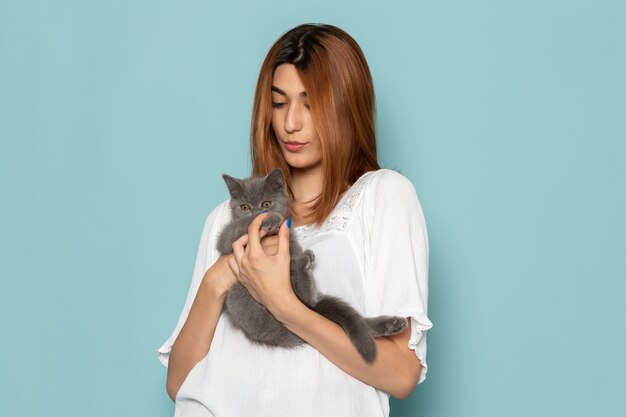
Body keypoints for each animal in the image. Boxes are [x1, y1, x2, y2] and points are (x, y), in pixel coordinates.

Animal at [217, 167, 408, 362]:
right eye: (244, 207)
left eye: (266, 204)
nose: (257, 211)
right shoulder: (227, 238)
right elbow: (242, 224)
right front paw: (266, 219)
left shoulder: (290, 241)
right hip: (240, 297)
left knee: (310, 300)